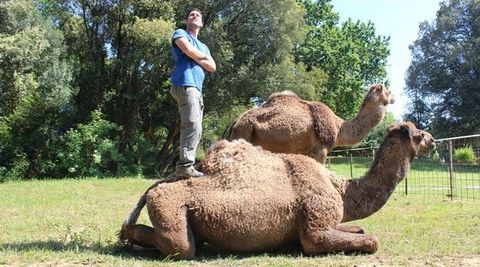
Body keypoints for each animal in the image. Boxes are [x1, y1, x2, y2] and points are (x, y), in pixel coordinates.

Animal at [119, 122, 436, 260]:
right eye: (418, 134)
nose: (432, 140)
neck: (342, 189)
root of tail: (155, 188)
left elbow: (359, 230)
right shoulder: (316, 227)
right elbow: (371, 240)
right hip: (171, 212)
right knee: (181, 247)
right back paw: (127, 238)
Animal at [229, 84, 394, 163]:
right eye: (388, 91)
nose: (394, 98)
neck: (339, 127)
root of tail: (234, 123)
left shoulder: (306, 152)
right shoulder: (321, 149)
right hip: (244, 134)